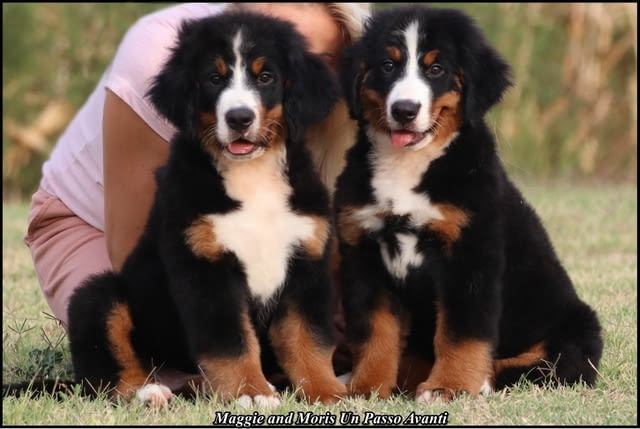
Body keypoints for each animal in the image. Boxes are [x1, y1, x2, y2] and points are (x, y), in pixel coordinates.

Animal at [65, 12, 344, 408]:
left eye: (265, 77)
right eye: (214, 78)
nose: (240, 118)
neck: (253, 176)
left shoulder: (306, 260)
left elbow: (308, 338)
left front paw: (326, 391)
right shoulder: (205, 268)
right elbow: (230, 342)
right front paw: (250, 392)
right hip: (100, 295)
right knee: (105, 370)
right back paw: (148, 391)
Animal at [336, 5, 604, 402]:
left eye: (436, 69)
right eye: (387, 65)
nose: (404, 110)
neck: (408, 165)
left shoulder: (470, 255)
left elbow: (461, 333)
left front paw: (450, 386)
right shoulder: (364, 253)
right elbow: (375, 333)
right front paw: (366, 387)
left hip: (572, 332)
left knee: (536, 366)